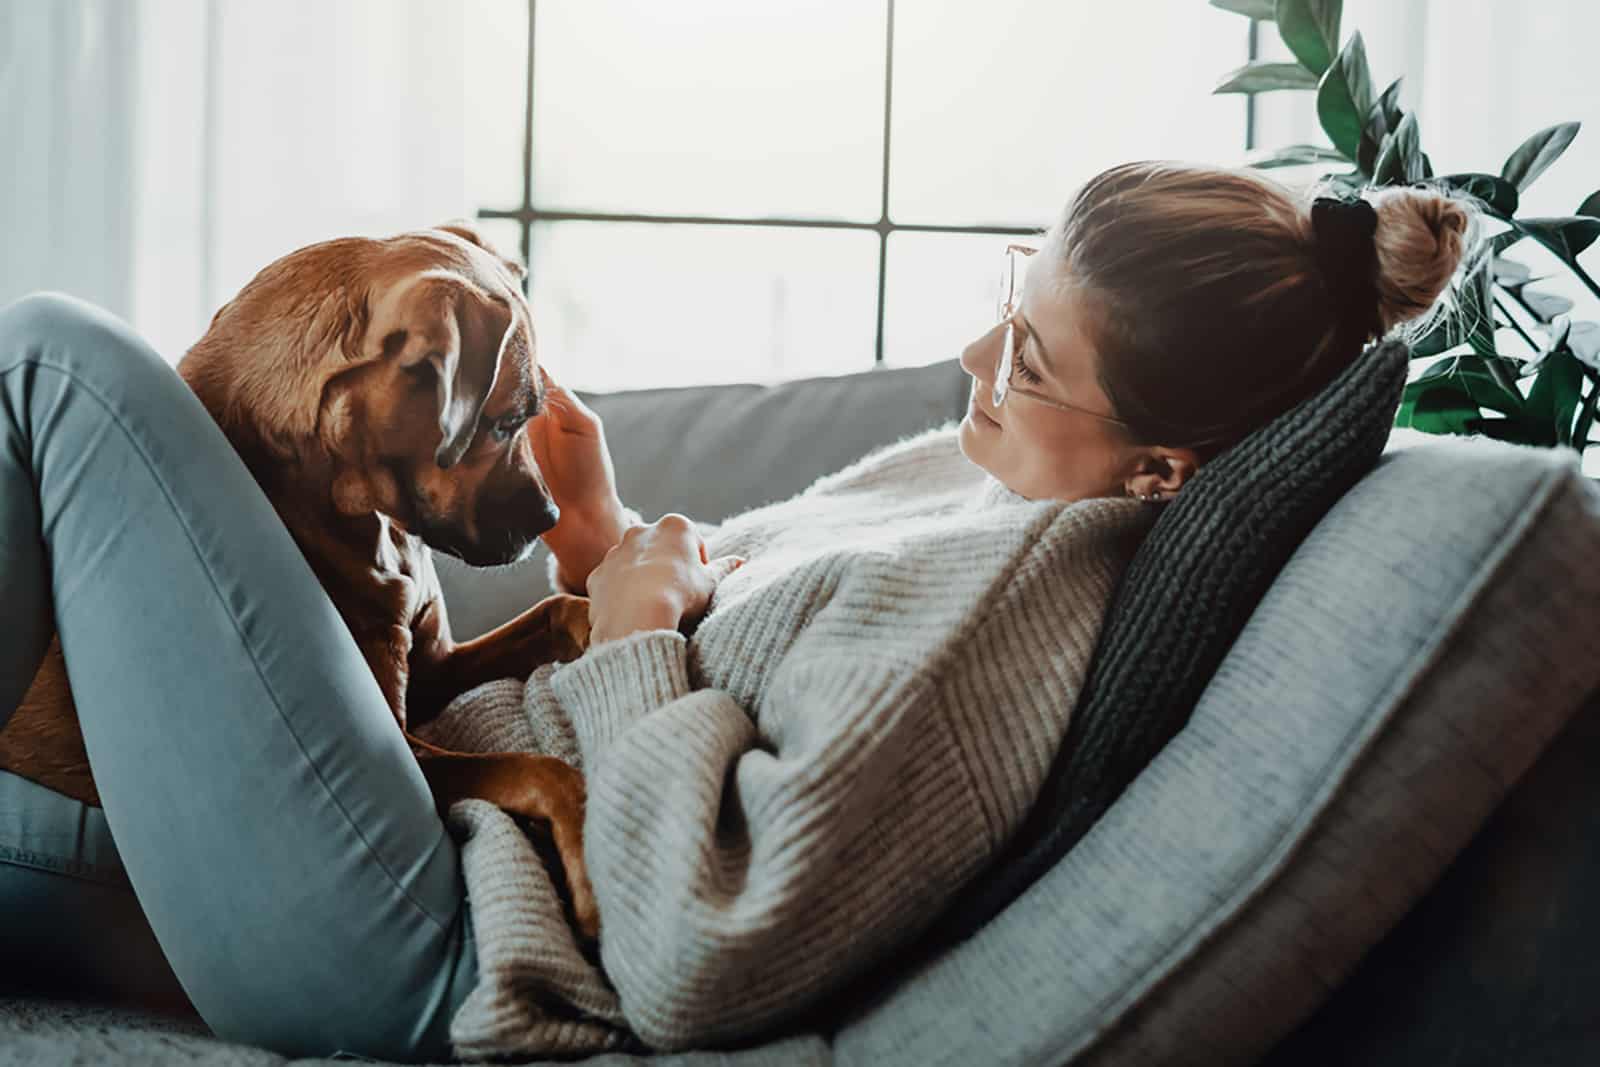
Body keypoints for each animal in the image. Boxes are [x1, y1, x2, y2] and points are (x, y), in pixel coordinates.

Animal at [1, 223, 601, 934]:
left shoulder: (434, 668)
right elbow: (540, 770)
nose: (551, 517)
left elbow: (554, 611)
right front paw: (589, 862)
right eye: (506, 422)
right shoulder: (408, 756)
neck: (362, 511)